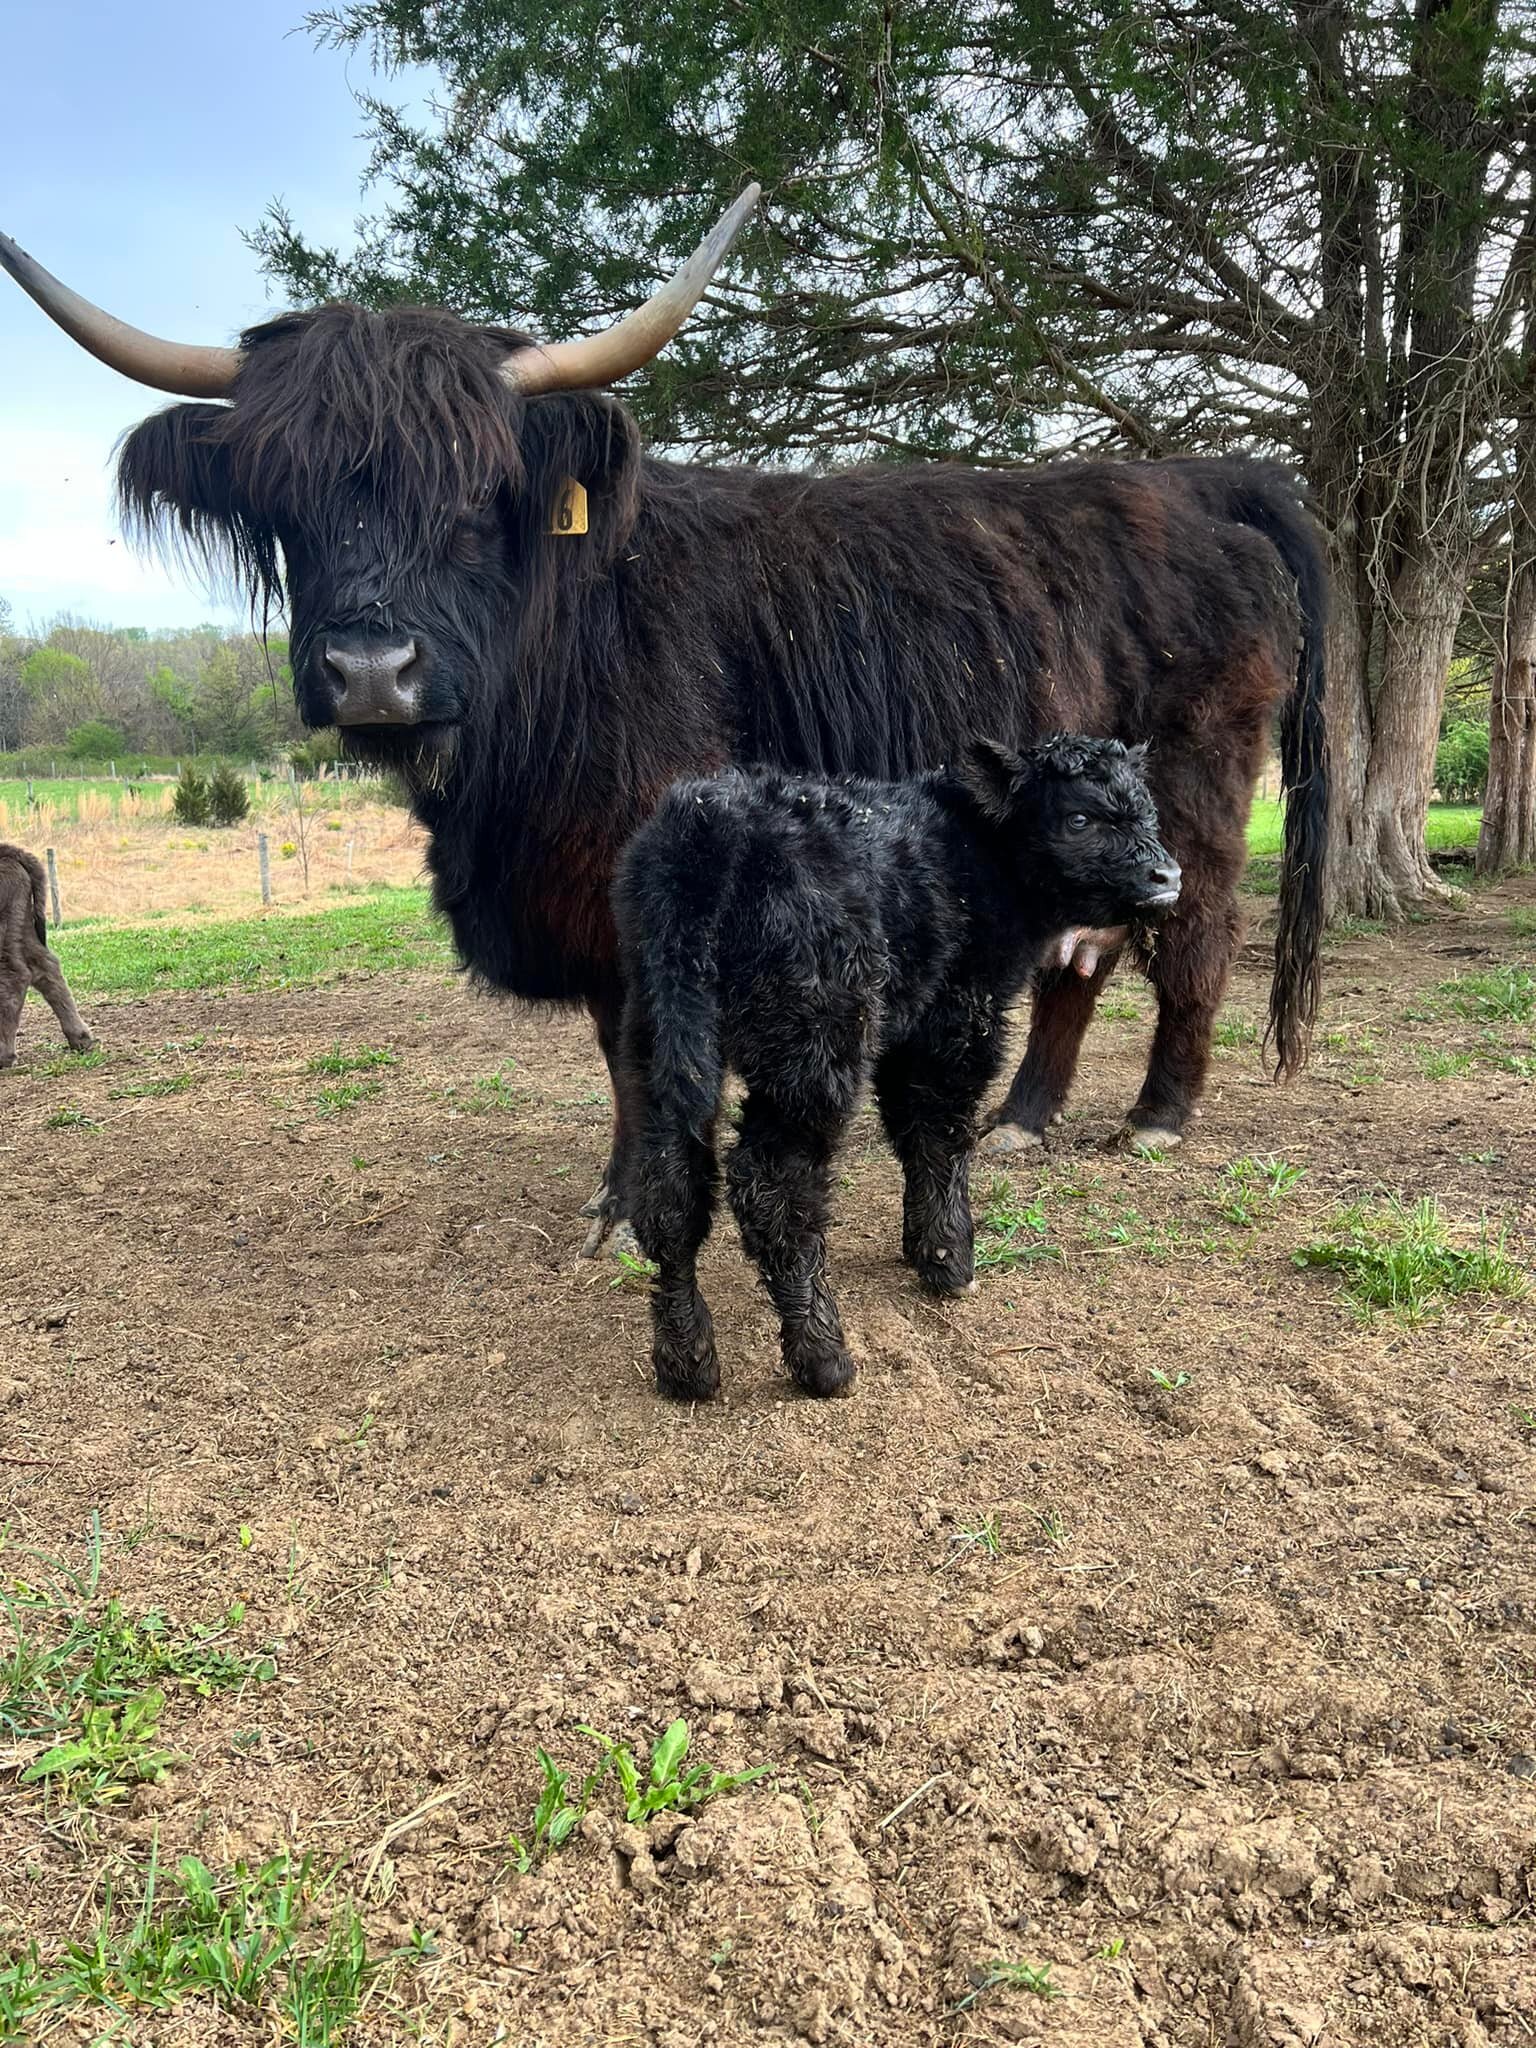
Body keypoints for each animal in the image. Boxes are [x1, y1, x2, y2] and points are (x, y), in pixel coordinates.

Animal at [0, 844, 95, 1067]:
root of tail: (10, 851)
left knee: (13, 977)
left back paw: (4, 1055)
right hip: (22, 926)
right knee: (47, 967)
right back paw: (81, 1039)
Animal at [615, 737, 1180, 1401]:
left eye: (1148, 810)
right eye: (1080, 818)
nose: (1167, 876)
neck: (979, 851)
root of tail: (709, 825)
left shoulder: (908, 1027)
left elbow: (911, 1127)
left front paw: (921, 1244)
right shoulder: (961, 1014)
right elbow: (943, 1131)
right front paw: (948, 1259)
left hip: (656, 1031)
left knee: (668, 1187)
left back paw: (687, 1361)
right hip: (816, 1042)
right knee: (772, 1184)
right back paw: (823, 1356)